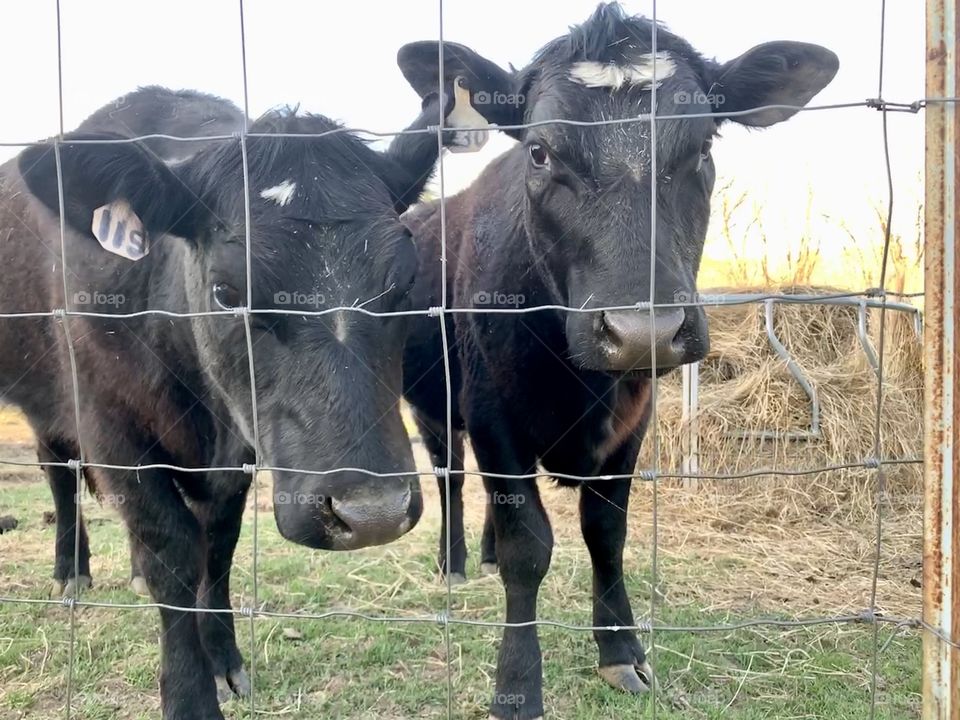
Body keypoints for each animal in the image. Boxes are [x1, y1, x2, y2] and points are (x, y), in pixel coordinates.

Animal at [1, 84, 458, 716]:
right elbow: (171, 550)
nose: (373, 514)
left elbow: (216, 547)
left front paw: (224, 660)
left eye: (408, 282)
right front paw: (189, 693)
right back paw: (71, 569)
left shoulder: (240, 447)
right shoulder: (109, 425)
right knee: (58, 473)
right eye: (225, 291)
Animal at [394, 2, 836, 716]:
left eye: (703, 147)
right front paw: (518, 684)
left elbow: (605, 533)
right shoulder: (493, 415)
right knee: (452, 478)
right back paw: (455, 562)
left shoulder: (634, 420)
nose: (642, 332)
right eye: (539, 151)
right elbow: (528, 547)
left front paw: (622, 651)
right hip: (432, 408)